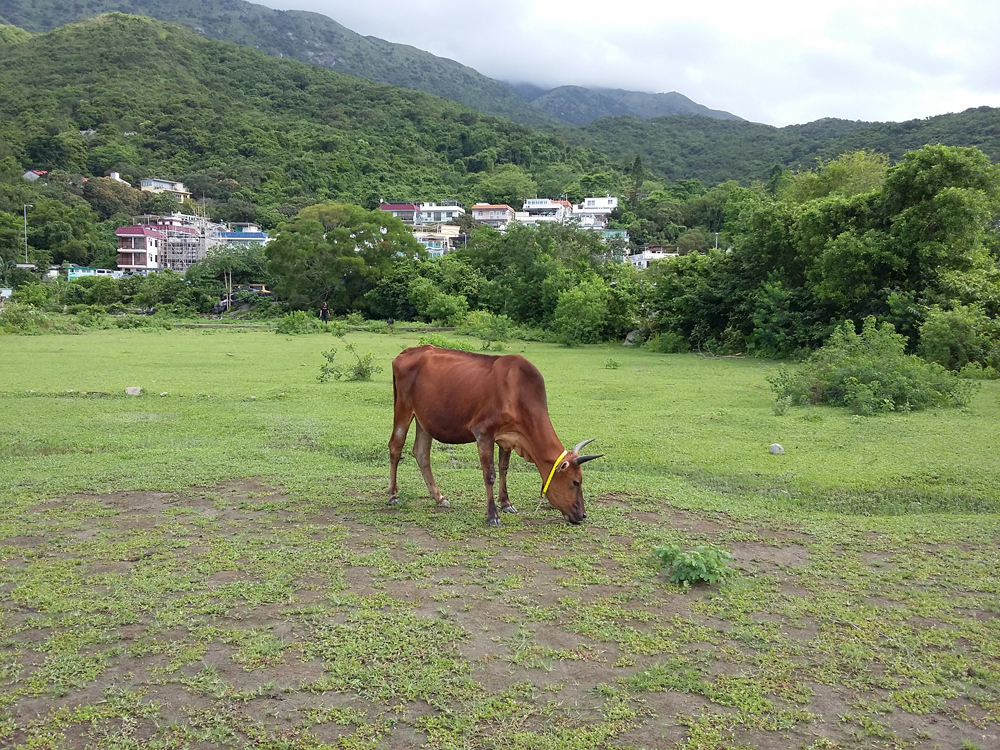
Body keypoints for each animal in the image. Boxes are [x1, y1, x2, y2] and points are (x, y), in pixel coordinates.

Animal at [386, 346, 596, 528]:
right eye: (575, 482)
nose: (582, 514)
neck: (517, 392)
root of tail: (407, 352)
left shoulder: (507, 438)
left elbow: (504, 469)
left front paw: (506, 503)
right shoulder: (483, 433)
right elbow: (490, 475)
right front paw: (492, 515)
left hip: (424, 418)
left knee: (421, 453)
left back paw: (439, 497)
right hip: (403, 408)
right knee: (395, 447)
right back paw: (393, 495)